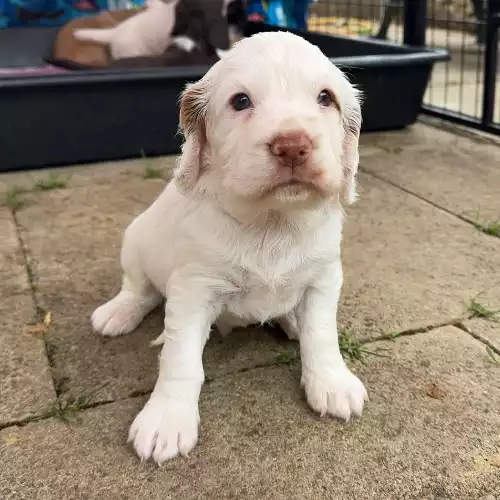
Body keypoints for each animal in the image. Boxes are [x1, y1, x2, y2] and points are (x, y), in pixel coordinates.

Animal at [92, 29, 366, 462]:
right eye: (240, 101)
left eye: (326, 98)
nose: (293, 145)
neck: (273, 220)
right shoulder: (193, 289)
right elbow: (181, 359)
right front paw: (166, 420)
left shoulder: (324, 278)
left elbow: (322, 334)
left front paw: (331, 382)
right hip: (135, 241)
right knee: (138, 289)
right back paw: (117, 314)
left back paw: (292, 321)